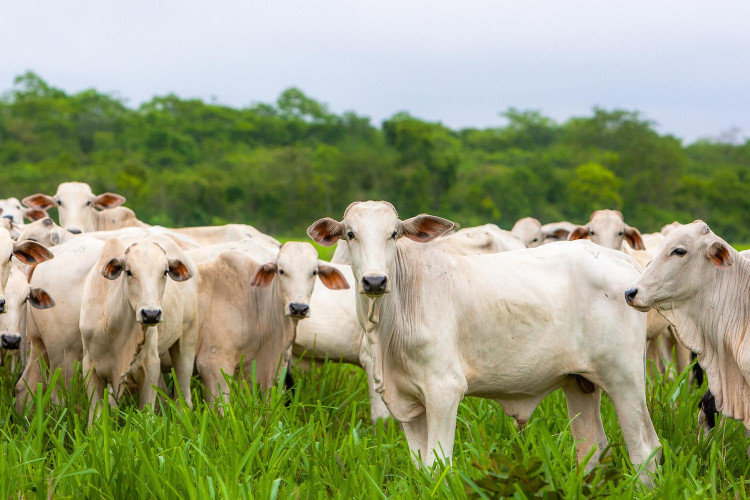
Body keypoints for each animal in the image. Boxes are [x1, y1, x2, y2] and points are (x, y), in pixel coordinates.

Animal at [308, 201, 660, 482]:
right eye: (350, 234)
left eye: (394, 234)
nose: (374, 281)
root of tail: (623, 262)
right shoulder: (407, 403)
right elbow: (421, 467)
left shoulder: (444, 390)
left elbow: (438, 464)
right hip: (578, 383)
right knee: (592, 449)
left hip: (624, 379)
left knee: (645, 449)